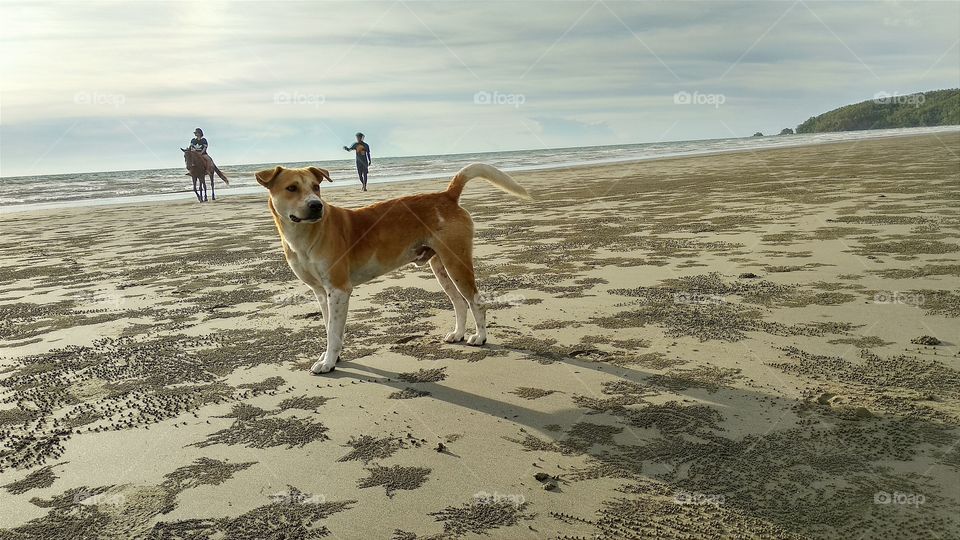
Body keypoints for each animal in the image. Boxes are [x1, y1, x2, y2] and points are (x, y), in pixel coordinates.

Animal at [256, 162, 532, 374]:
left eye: (316, 187)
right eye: (292, 188)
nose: (316, 205)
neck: (305, 235)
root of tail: (447, 195)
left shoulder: (339, 290)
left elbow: (333, 332)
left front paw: (328, 362)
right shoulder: (322, 293)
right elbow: (329, 328)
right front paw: (331, 358)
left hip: (457, 263)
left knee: (477, 302)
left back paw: (480, 338)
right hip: (441, 267)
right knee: (459, 302)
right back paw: (458, 334)